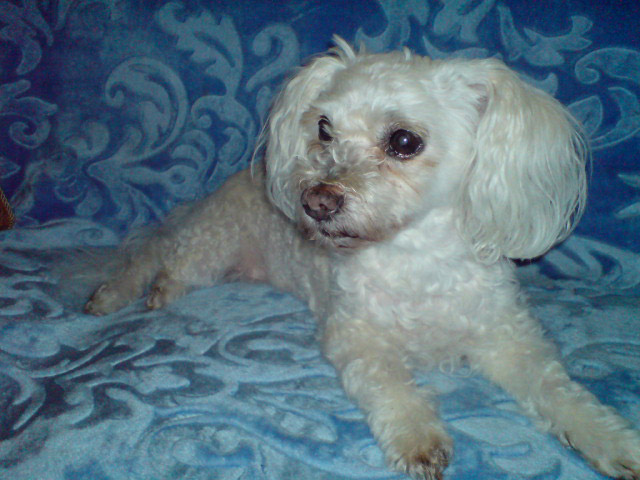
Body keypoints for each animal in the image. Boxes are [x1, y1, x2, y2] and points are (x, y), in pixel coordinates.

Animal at [84, 38, 640, 479]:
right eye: (324, 128)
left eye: (404, 141)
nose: (316, 200)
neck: (416, 258)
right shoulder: (356, 336)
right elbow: (390, 385)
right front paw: (418, 437)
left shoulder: (509, 339)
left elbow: (560, 391)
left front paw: (610, 439)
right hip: (210, 246)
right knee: (162, 263)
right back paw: (143, 293)